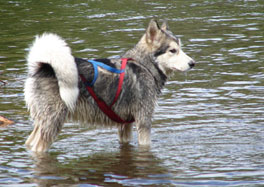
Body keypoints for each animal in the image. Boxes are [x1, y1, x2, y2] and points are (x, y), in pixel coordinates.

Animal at [24, 19, 195, 152]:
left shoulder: (125, 125)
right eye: (173, 50)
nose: (192, 63)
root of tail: (44, 65)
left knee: (29, 143)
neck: (144, 65)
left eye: (180, 48)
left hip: (42, 122)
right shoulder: (144, 120)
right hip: (53, 122)